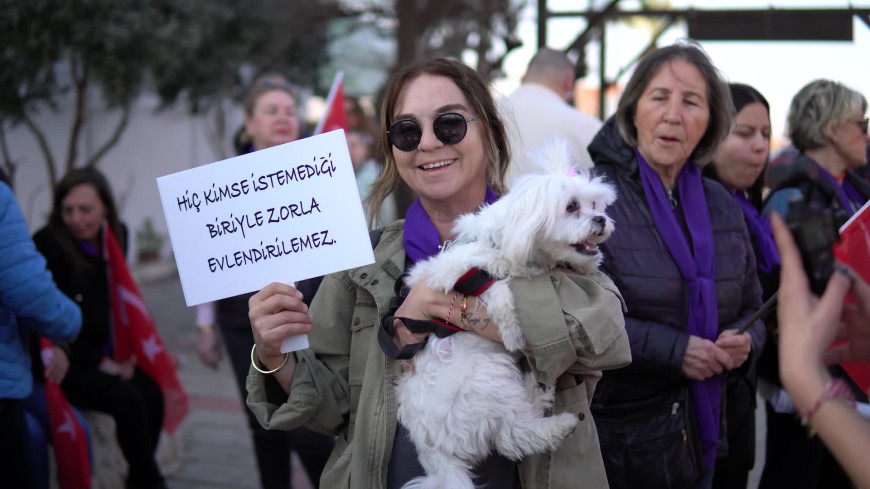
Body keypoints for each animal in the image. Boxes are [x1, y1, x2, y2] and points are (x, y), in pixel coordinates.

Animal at [398, 139, 616, 486]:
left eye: (596, 204)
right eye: (571, 206)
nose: (601, 221)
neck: (505, 241)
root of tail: (436, 452)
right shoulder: (452, 272)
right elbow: (496, 288)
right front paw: (512, 331)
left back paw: (541, 391)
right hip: (486, 377)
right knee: (512, 436)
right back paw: (558, 422)